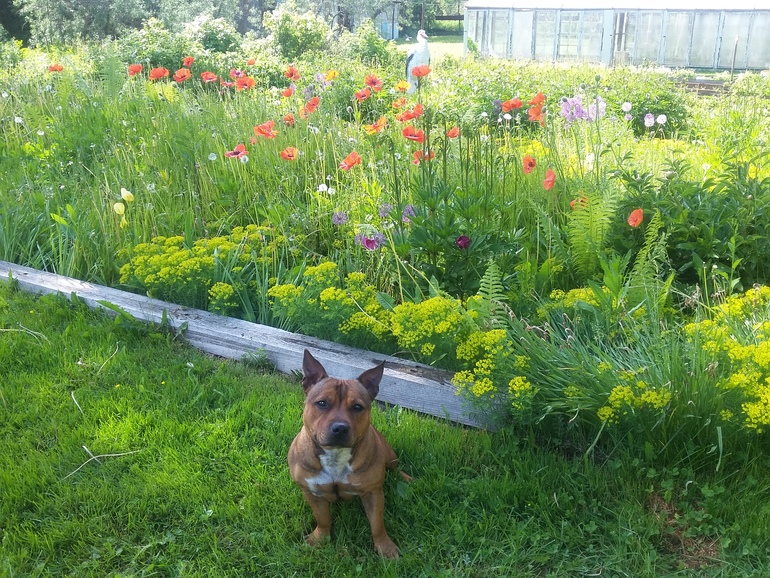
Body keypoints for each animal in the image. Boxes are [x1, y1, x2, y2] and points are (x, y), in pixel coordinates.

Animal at [288, 350, 407, 558]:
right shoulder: (311, 492)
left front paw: (385, 547)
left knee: (396, 467)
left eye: (357, 407)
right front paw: (319, 538)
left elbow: (377, 524)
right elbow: (323, 519)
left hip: (389, 455)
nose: (340, 428)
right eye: (322, 403)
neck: (335, 455)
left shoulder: (373, 493)